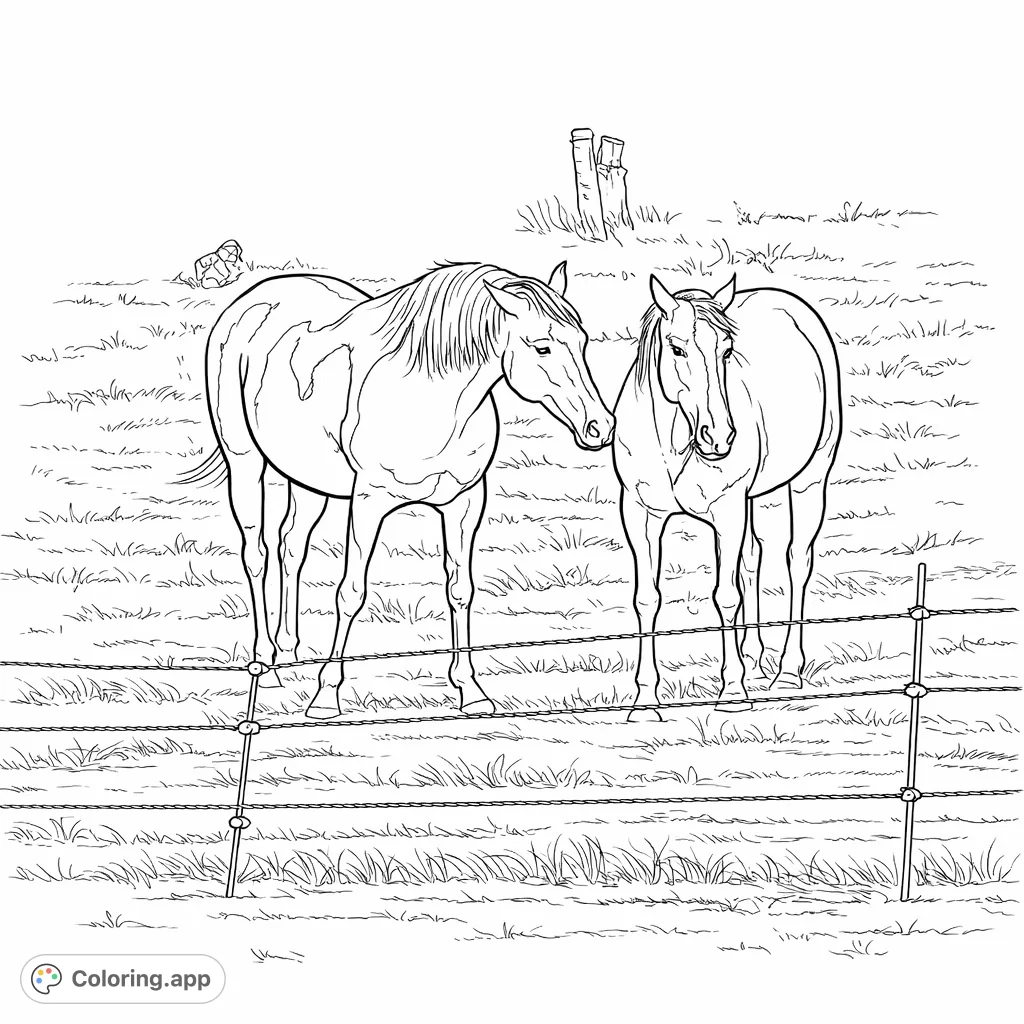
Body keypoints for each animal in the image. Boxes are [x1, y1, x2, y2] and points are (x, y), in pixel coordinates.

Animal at [179, 261, 614, 720]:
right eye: (542, 347)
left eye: (583, 343)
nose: (601, 428)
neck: (433, 402)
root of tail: (256, 297)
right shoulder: (368, 502)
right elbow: (350, 593)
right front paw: (326, 696)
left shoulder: (464, 502)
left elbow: (460, 590)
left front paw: (471, 691)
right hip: (244, 461)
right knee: (256, 555)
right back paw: (265, 666)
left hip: (307, 477)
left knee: (291, 549)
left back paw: (290, 658)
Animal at [611, 273, 841, 719]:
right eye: (677, 348)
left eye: (727, 350)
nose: (719, 438)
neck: (673, 441)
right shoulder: (640, 513)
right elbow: (647, 597)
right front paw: (645, 700)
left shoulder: (727, 511)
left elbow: (725, 594)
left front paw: (732, 690)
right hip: (759, 496)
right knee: (753, 560)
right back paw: (755, 660)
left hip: (809, 481)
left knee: (797, 562)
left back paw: (787, 672)